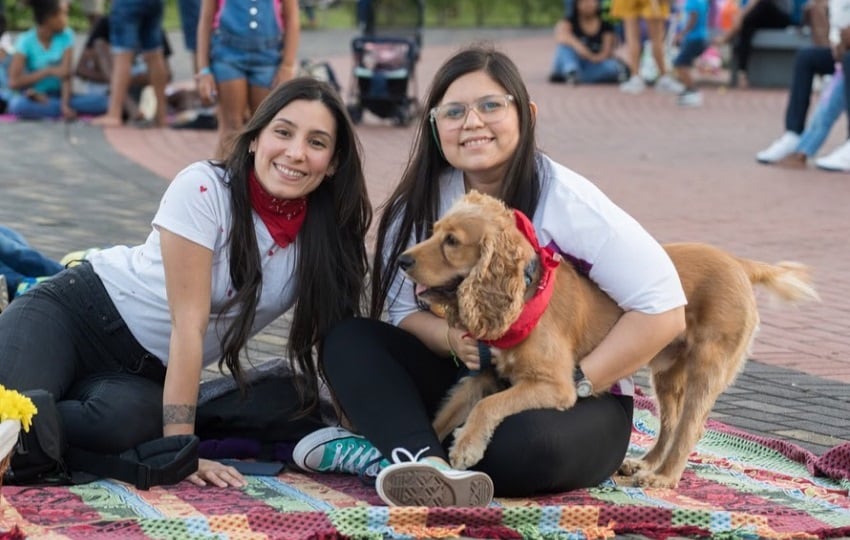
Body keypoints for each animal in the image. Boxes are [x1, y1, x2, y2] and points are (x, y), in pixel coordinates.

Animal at [400, 191, 820, 490]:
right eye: (434, 231)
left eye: (452, 241)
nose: (403, 260)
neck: (524, 295)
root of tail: (738, 263)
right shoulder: (485, 376)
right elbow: (445, 414)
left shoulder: (555, 385)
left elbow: (489, 407)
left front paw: (465, 447)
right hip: (667, 373)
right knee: (670, 423)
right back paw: (645, 463)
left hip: (708, 365)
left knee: (690, 427)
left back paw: (663, 478)